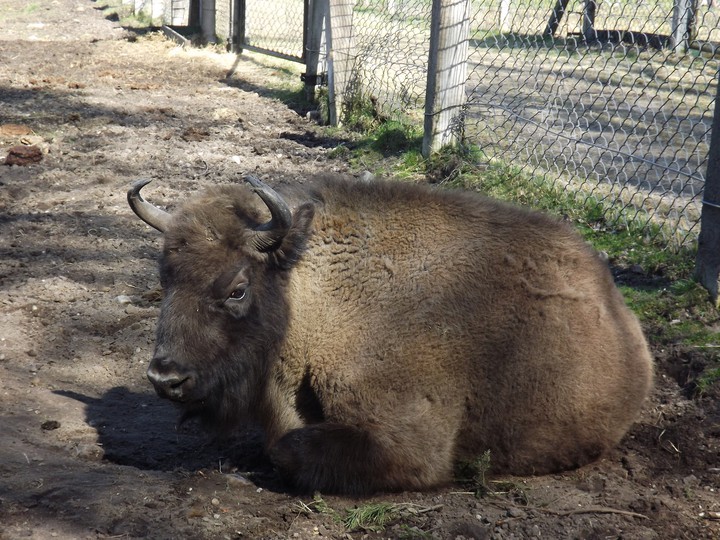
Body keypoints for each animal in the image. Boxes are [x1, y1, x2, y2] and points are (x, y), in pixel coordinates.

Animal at [127, 174, 653, 495]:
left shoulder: (409, 443)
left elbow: (286, 450)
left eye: (237, 288)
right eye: (164, 277)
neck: (315, 292)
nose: (165, 378)